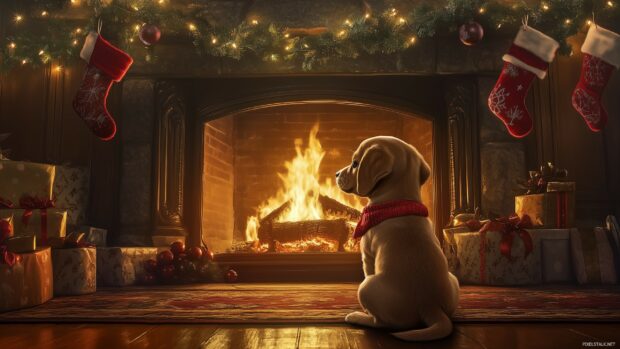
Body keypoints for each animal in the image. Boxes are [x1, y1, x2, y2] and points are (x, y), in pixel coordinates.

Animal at [336, 135, 458, 340]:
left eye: (355, 163)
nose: (336, 174)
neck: (398, 200)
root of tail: (430, 306)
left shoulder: (367, 255)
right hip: (453, 279)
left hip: (366, 287)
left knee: (383, 323)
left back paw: (358, 316)